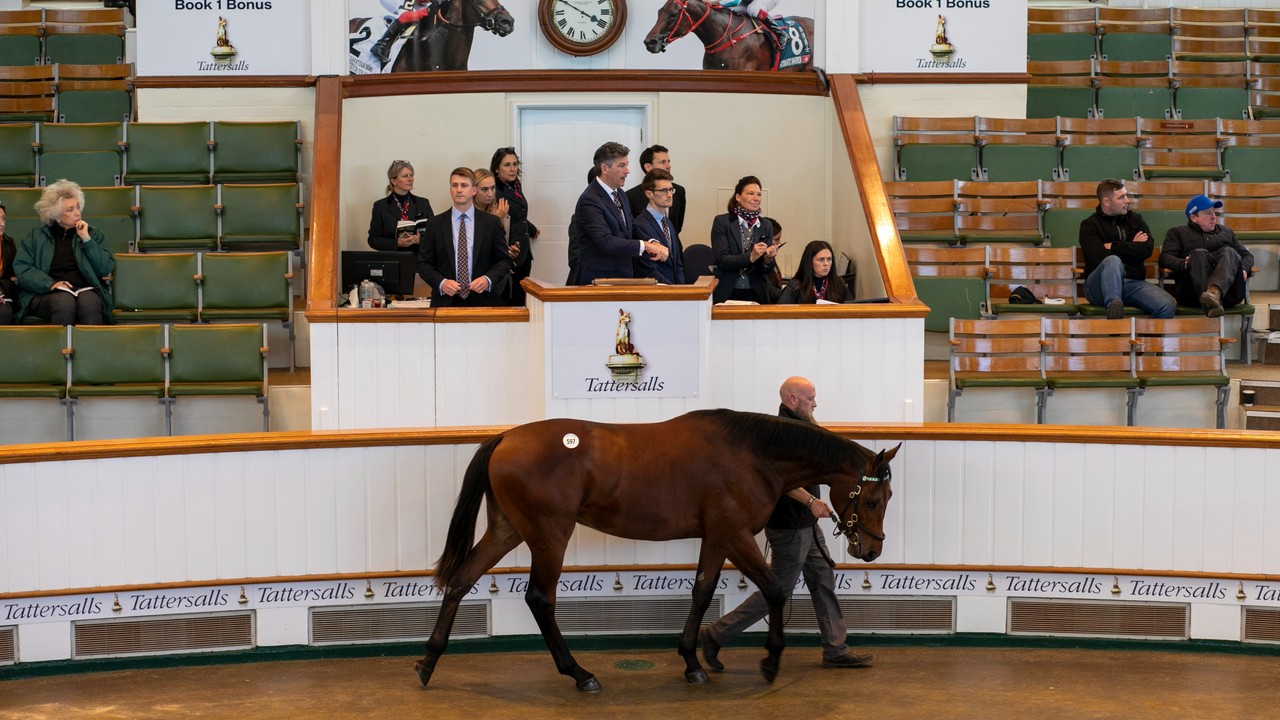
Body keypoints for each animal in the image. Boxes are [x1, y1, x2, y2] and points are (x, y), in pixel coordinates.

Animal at [414, 407, 896, 686]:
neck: (751, 455)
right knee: (539, 599)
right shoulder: (734, 534)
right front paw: (770, 662)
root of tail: (505, 438)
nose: (871, 551)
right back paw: (579, 673)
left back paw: (428, 662)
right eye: (873, 499)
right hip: (549, 535)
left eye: (886, 498)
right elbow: (775, 589)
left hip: (508, 530)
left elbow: (702, 593)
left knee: (460, 581)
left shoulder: (716, 537)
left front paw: (694, 661)